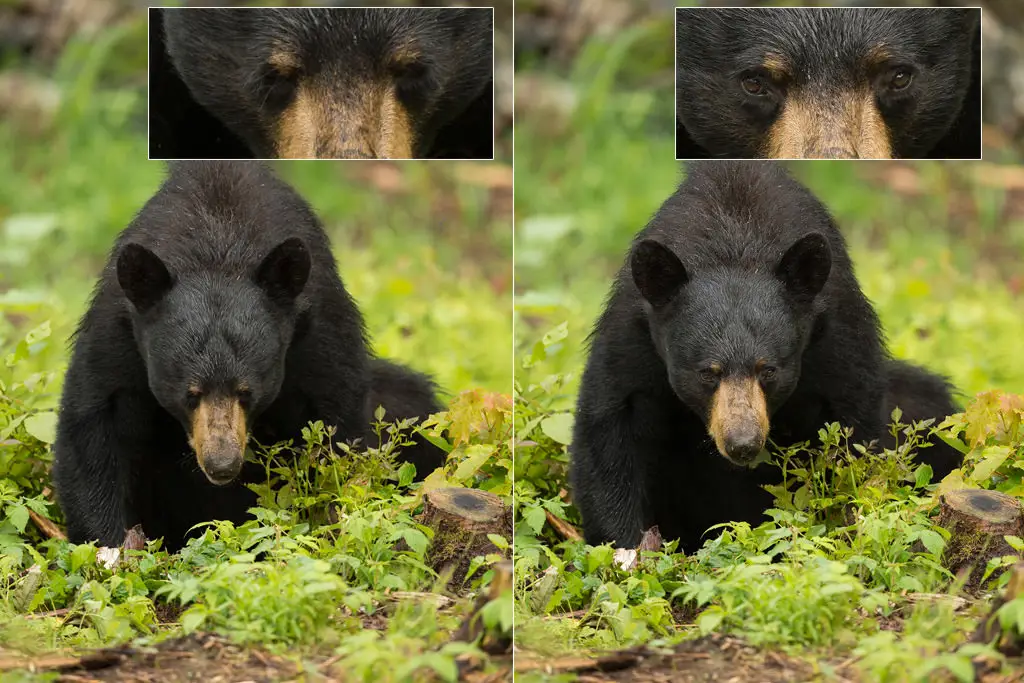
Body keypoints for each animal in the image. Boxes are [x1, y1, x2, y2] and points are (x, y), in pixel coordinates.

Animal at [51, 162, 444, 552]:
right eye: (190, 394)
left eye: (247, 392)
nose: (221, 465)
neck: (218, 244)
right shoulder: (118, 332)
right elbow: (95, 428)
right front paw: (111, 546)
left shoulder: (319, 328)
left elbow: (336, 429)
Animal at [573, 161, 962, 557]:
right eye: (707, 373)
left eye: (769, 370)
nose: (742, 444)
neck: (735, 242)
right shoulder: (632, 336)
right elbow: (610, 431)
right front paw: (627, 550)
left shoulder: (838, 332)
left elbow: (853, 432)